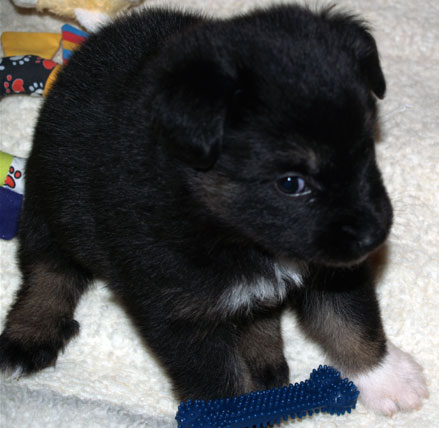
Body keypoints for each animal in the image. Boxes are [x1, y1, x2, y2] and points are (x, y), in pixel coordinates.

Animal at [0, 5, 426, 416]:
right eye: (291, 183)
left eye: (365, 147)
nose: (375, 234)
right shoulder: (179, 312)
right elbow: (218, 382)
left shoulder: (330, 263)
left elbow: (349, 321)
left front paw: (387, 378)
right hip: (48, 202)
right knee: (46, 269)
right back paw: (28, 334)